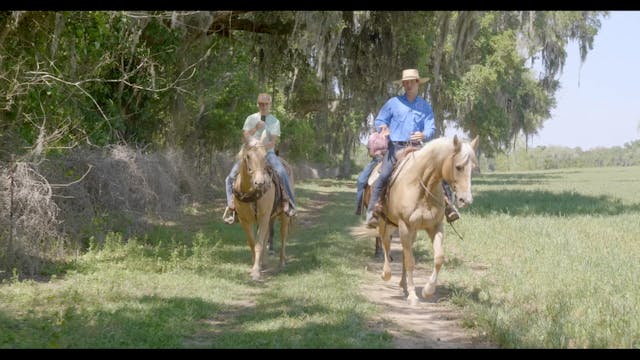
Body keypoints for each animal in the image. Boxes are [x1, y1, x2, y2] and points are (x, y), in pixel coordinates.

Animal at [232, 139, 290, 280]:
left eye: (265, 157)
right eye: (248, 156)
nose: (260, 183)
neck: (251, 193)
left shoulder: (263, 217)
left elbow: (259, 244)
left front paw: (256, 272)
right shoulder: (245, 220)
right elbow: (253, 242)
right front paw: (256, 264)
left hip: (283, 216)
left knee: (283, 235)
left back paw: (282, 262)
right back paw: (264, 262)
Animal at [352, 135, 478, 304]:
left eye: (473, 168)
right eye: (458, 167)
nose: (466, 200)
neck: (421, 186)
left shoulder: (435, 226)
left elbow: (438, 258)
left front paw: (427, 290)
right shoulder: (405, 226)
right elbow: (410, 261)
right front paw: (413, 295)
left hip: (410, 231)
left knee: (404, 253)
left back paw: (403, 285)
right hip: (385, 223)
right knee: (386, 244)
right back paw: (386, 274)